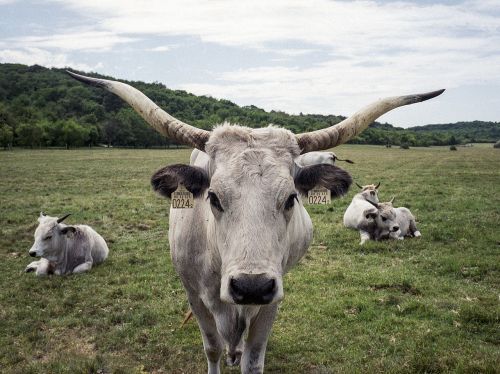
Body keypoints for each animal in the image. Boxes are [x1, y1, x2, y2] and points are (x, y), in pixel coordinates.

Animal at [68, 71, 444, 374]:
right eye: (213, 198)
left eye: (291, 198)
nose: (250, 286)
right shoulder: (194, 295)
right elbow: (212, 348)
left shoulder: (271, 299)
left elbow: (253, 358)